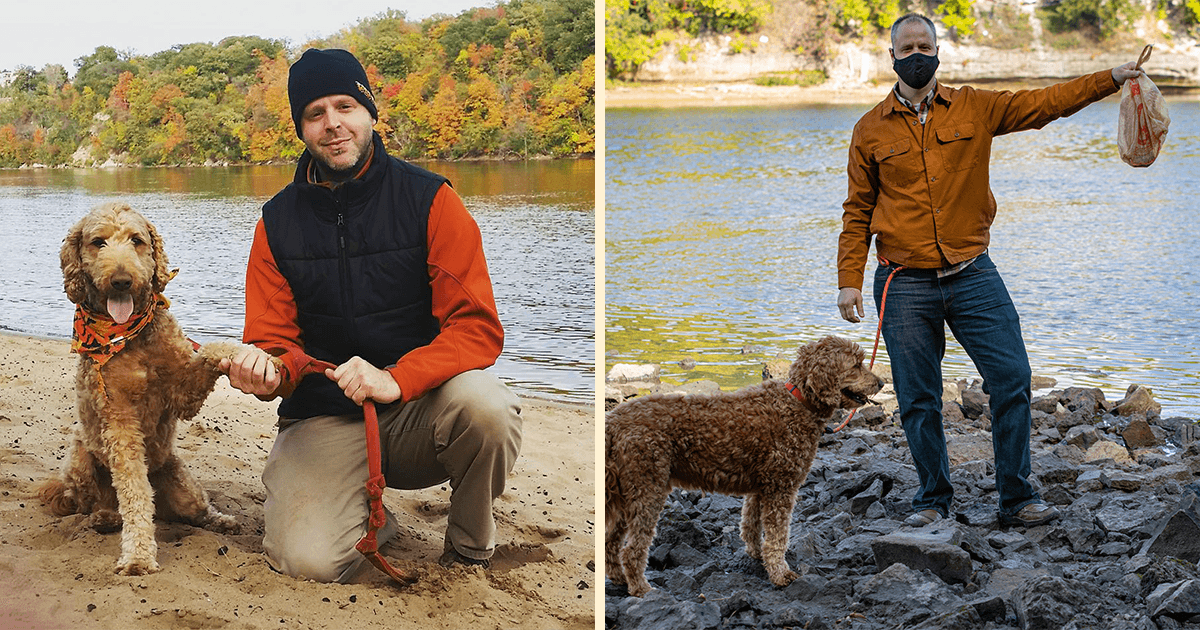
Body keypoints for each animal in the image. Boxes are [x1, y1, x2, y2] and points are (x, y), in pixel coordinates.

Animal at [39, 202, 248, 573]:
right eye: (98, 242)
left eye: (136, 240)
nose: (122, 280)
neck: (131, 336)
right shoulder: (119, 419)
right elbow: (134, 492)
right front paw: (137, 555)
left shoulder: (183, 392)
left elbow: (212, 349)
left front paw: (252, 356)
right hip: (80, 461)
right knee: (91, 501)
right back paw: (106, 517)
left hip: (181, 485)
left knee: (198, 511)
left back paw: (222, 521)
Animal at [609, 333, 883, 595]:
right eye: (856, 365)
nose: (880, 382)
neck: (797, 402)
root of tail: (614, 420)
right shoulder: (781, 487)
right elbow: (777, 537)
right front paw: (780, 573)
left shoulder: (760, 488)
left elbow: (751, 525)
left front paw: (757, 554)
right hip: (647, 488)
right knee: (631, 550)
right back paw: (640, 587)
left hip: (624, 494)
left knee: (610, 541)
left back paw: (620, 578)